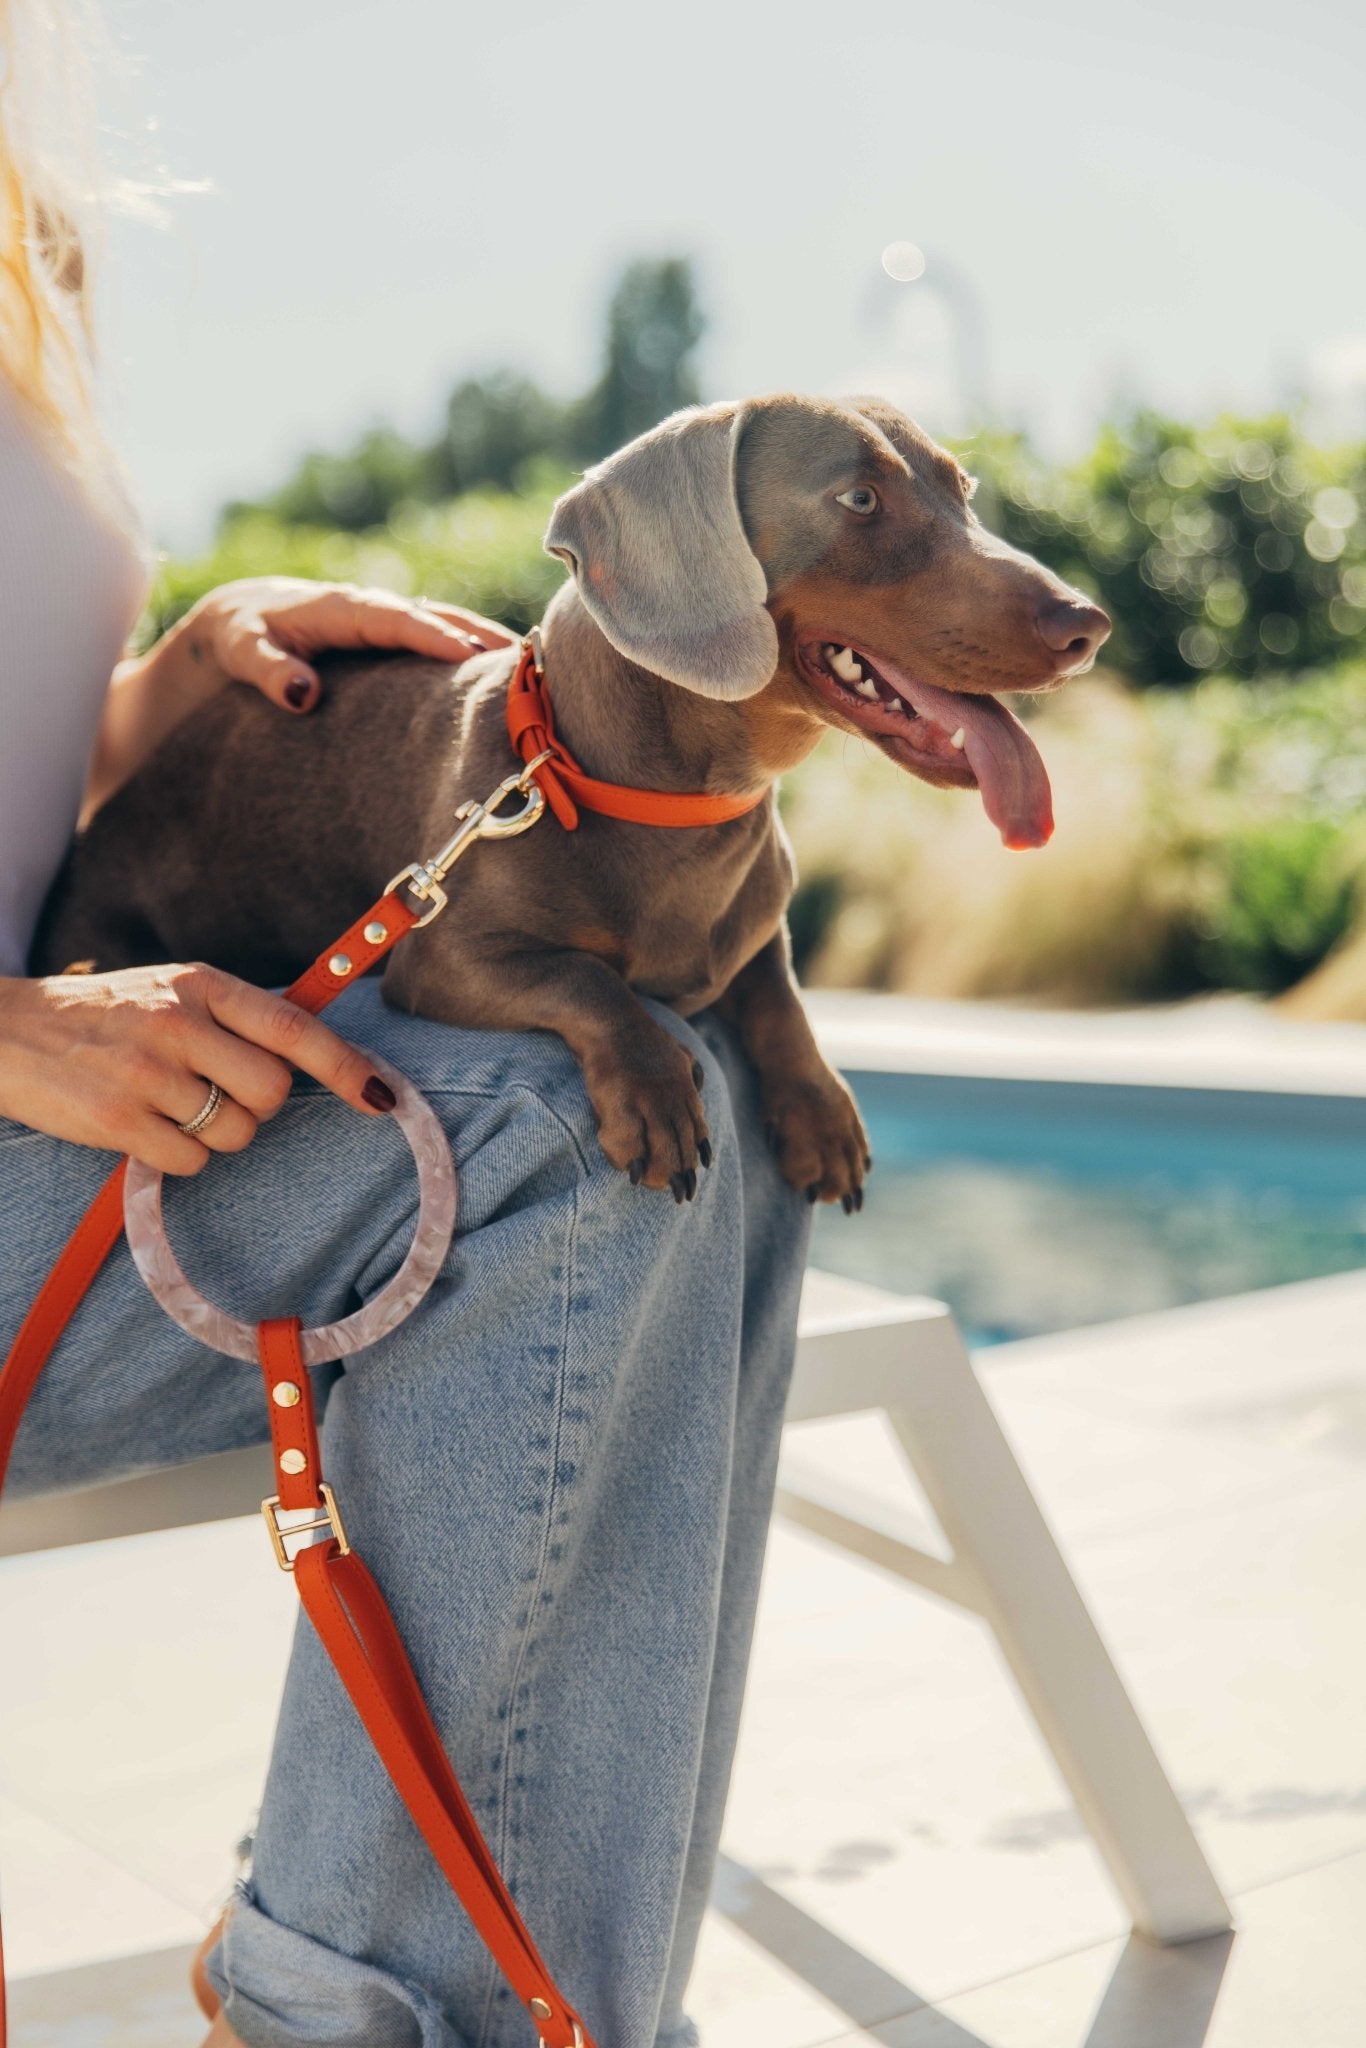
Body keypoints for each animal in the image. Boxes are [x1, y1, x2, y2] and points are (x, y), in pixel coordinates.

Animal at [34, 391, 1114, 1196]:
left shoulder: (754, 936)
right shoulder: (442, 955)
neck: (672, 806)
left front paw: (817, 1109)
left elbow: (776, 990)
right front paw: (655, 1092)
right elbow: (588, 980)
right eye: (857, 498)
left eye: (962, 490)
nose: (1087, 625)